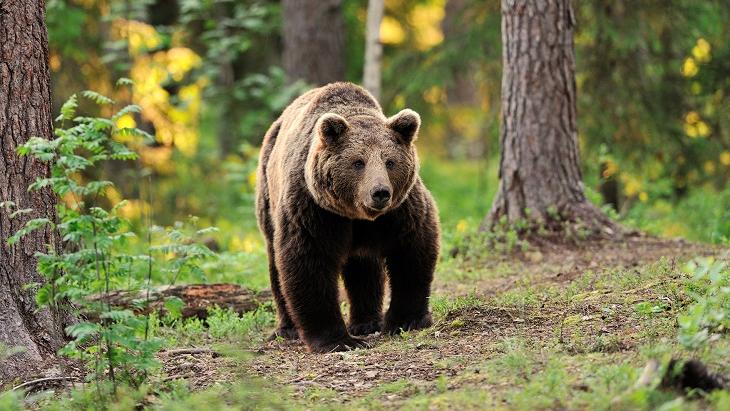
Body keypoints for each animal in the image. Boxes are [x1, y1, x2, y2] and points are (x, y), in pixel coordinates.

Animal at [256, 82, 438, 352]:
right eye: (358, 162)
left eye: (390, 161)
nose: (380, 192)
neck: (355, 214)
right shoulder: (314, 210)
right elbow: (309, 262)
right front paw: (337, 340)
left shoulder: (400, 210)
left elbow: (412, 251)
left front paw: (407, 320)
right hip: (269, 197)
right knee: (276, 264)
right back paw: (288, 328)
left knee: (364, 266)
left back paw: (366, 322)